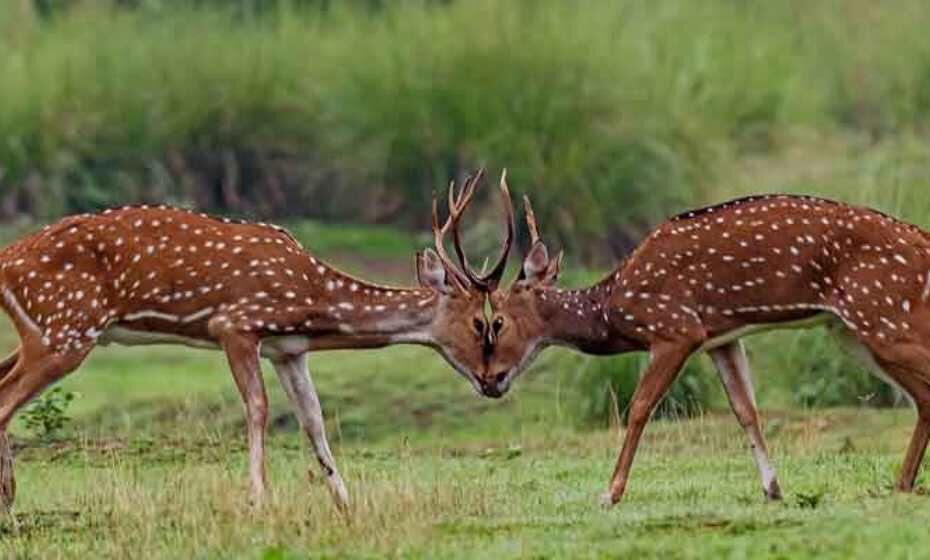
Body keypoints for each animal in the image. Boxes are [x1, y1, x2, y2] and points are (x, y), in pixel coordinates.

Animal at [0, 170, 516, 512]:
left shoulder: (288, 350)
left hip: (44, 330)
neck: (312, 301)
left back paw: (10, 497)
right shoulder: (236, 324)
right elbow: (258, 408)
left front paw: (345, 502)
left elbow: (313, 419)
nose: (495, 382)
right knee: (6, 400)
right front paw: (258, 497)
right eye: (482, 323)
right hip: (67, 328)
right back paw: (10, 503)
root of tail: (8, 260)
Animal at [478, 192, 930, 508]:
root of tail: (922, 240)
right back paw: (902, 483)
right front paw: (773, 489)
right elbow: (746, 410)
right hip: (850, 331)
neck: (614, 309)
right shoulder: (722, 338)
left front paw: (610, 493)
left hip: (883, 314)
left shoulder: (676, 329)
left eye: (496, 321)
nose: (487, 381)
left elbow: (639, 407)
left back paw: (902, 483)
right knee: (921, 396)